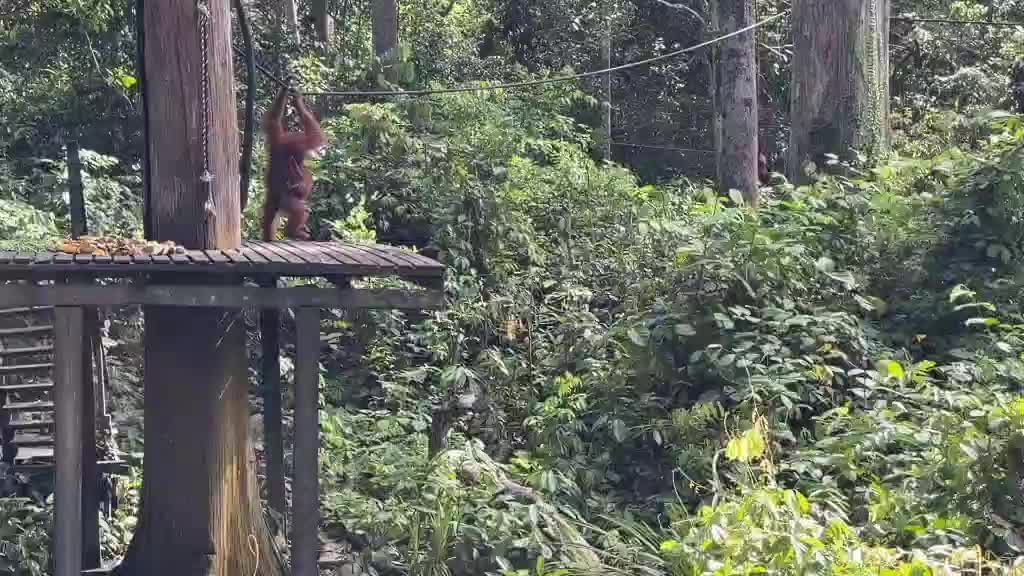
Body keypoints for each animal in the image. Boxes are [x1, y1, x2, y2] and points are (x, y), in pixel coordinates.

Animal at [262, 83, 326, 241]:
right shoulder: (298, 142)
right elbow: (315, 137)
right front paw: (298, 101)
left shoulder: (276, 138)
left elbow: (273, 120)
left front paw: (285, 90)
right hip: (287, 201)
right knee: (301, 210)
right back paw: (292, 232)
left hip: (273, 201)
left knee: (269, 216)